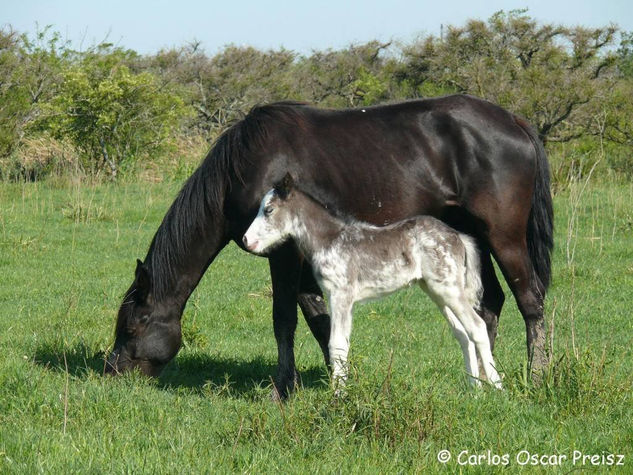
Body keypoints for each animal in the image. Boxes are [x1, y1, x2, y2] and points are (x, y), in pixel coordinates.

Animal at [107, 94, 552, 398]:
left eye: (132, 327)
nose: (112, 373)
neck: (247, 163)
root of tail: (515, 122)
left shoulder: (282, 254)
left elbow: (284, 319)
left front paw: (283, 390)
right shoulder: (308, 262)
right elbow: (320, 321)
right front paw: (335, 382)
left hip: (504, 236)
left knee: (529, 300)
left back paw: (535, 377)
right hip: (470, 238)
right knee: (487, 304)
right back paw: (480, 377)